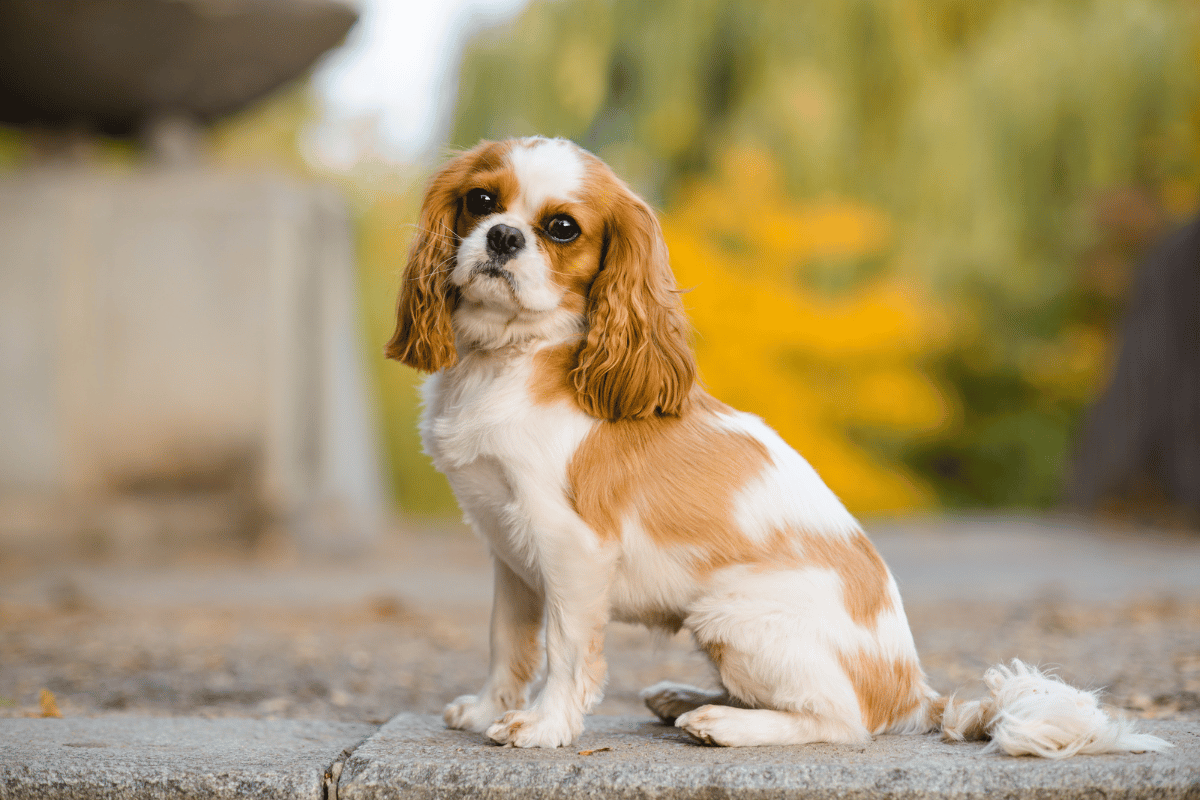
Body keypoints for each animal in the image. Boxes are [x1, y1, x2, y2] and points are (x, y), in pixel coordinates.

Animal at [386, 137, 1171, 758]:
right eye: (481, 201)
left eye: (560, 228)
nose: (502, 238)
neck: (510, 360)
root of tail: (915, 695)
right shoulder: (511, 553)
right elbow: (507, 642)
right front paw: (488, 709)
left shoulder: (570, 548)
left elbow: (565, 650)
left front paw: (543, 726)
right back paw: (686, 698)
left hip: (728, 617)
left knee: (840, 722)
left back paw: (723, 723)